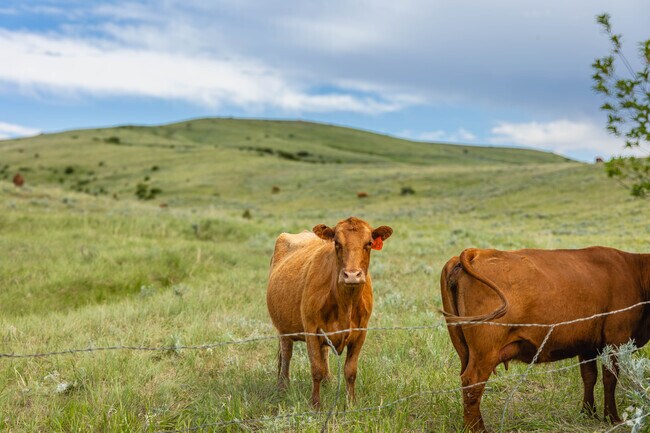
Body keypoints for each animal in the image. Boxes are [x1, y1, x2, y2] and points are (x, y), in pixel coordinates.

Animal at [267, 217, 393, 408]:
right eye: (337, 243)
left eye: (369, 243)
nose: (352, 275)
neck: (346, 303)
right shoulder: (311, 330)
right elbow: (316, 368)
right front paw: (316, 405)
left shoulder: (360, 333)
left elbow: (350, 371)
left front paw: (351, 402)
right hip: (283, 328)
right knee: (287, 354)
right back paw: (283, 386)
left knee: (324, 352)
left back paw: (328, 381)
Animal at [440, 247, 650, 432]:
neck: (635, 270)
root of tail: (477, 252)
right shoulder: (616, 340)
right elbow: (610, 378)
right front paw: (612, 418)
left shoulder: (587, 344)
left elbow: (589, 376)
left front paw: (588, 413)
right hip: (485, 354)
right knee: (473, 383)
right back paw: (477, 429)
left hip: (465, 351)